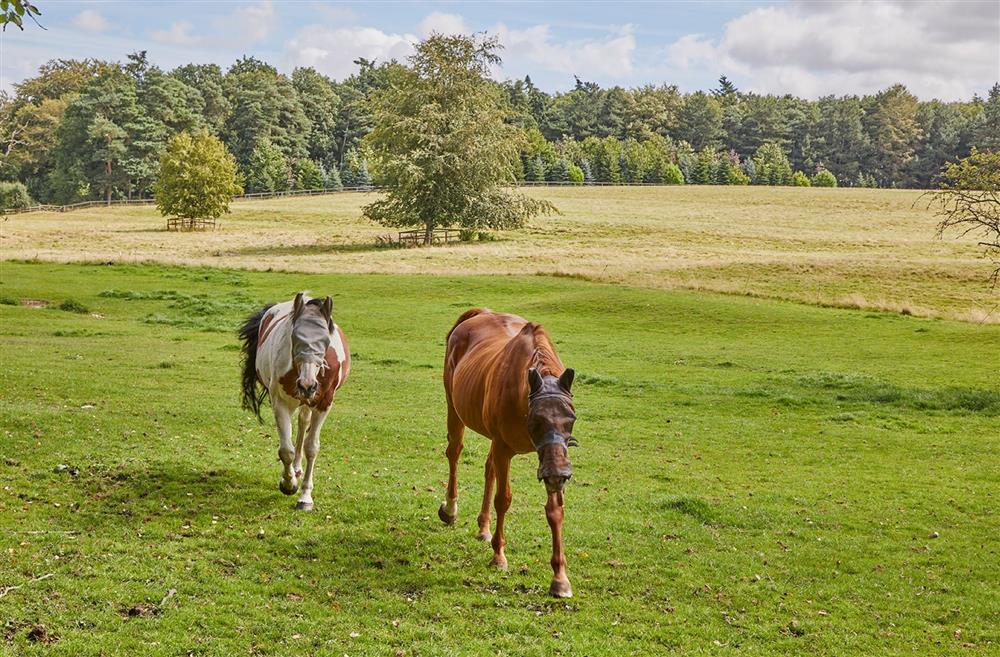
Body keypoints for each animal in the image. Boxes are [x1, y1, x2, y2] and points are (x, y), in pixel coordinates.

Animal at [239, 292, 352, 512]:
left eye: (326, 341)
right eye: (294, 337)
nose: (307, 385)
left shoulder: (324, 403)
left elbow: (311, 447)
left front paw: (305, 497)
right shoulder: (280, 402)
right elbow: (286, 451)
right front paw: (288, 484)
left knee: (303, 424)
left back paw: (299, 470)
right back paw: (294, 472)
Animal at [440, 306, 580, 596]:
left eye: (571, 418)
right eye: (536, 420)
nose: (560, 473)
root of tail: (481, 312)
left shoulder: (548, 458)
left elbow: (555, 510)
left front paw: (560, 578)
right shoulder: (505, 448)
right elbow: (503, 499)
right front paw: (498, 557)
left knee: (489, 468)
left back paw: (484, 527)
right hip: (454, 407)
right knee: (454, 452)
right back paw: (450, 509)